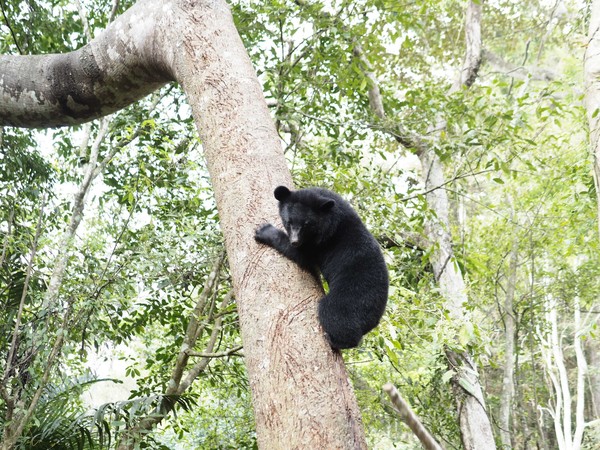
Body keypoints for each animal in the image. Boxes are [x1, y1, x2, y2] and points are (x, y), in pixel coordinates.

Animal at [254, 185, 390, 350]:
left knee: (334, 315)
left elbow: (303, 256)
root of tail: (376, 318)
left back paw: (334, 340)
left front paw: (264, 231)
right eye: (289, 221)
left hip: (351, 300)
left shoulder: (322, 245)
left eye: (306, 224)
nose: (295, 241)